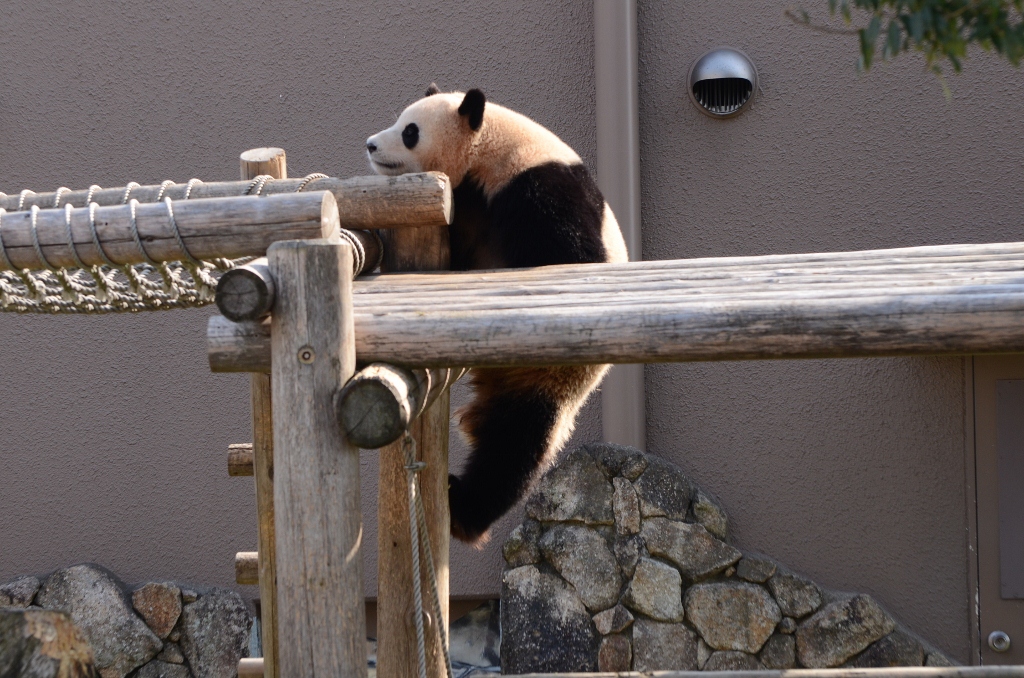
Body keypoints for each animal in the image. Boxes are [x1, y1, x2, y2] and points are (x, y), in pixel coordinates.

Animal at [364, 85, 626, 544]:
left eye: (410, 131)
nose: (372, 145)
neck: (488, 147)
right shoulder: (469, 207)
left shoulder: (533, 187)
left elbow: (573, 257)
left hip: (554, 377)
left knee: (514, 445)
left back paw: (464, 509)